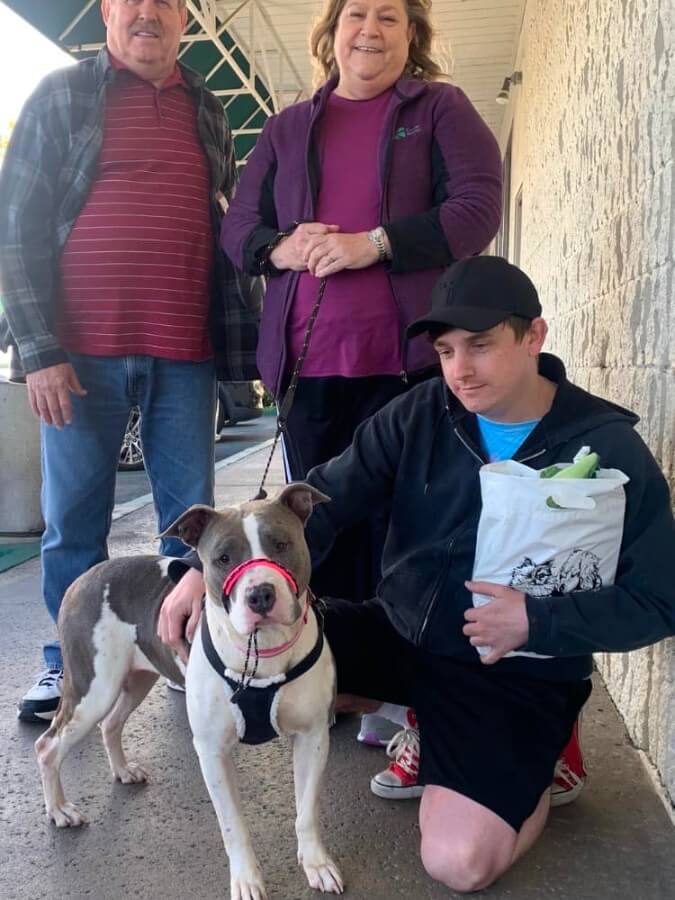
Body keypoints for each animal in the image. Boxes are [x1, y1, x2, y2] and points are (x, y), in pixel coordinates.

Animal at [35, 486, 344, 900]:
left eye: (281, 544)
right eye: (223, 558)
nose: (260, 594)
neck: (261, 651)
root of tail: (86, 576)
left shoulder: (312, 737)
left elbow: (306, 812)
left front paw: (316, 864)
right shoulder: (212, 751)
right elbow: (233, 827)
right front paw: (247, 881)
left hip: (135, 679)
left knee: (110, 725)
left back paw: (122, 771)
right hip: (93, 690)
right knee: (48, 745)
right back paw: (60, 810)